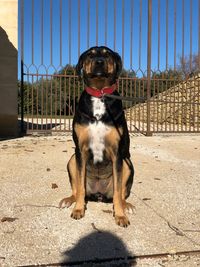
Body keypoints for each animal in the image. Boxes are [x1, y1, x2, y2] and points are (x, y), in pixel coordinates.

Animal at [59, 46, 134, 228]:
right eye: (90, 54)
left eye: (107, 54)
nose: (99, 62)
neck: (100, 95)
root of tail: (99, 194)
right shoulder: (80, 151)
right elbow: (80, 187)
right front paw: (79, 209)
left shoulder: (117, 153)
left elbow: (118, 191)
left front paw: (120, 215)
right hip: (72, 160)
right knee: (77, 188)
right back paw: (69, 200)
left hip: (127, 163)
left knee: (121, 193)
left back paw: (126, 205)